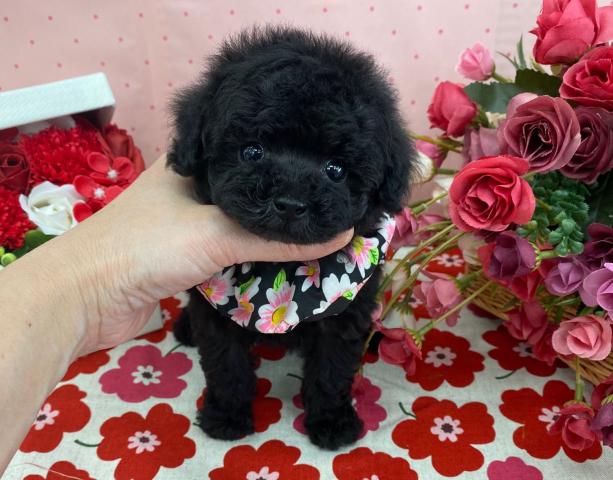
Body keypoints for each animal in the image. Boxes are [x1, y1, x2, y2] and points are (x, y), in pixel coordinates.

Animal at [168, 26, 414, 450]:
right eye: (252, 151)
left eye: (336, 169)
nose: (290, 203)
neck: (281, 267)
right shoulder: (216, 309)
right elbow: (225, 362)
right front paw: (226, 416)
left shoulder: (345, 310)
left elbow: (332, 368)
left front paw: (331, 421)